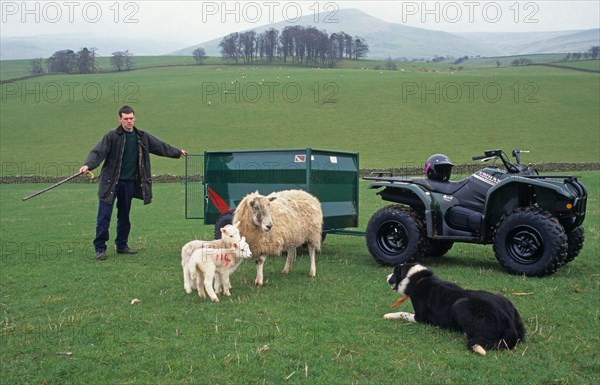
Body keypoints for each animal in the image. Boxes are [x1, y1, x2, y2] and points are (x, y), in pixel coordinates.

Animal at [384, 262, 524, 356]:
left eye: (395, 272)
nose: (386, 277)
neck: (418, 280)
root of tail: (508, 322)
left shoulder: (421, 318)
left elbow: (402, 313)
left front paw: (389, 315)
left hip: (460, 304)